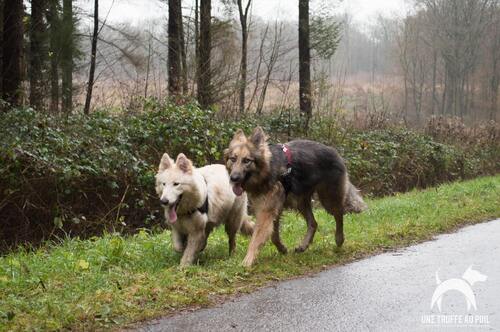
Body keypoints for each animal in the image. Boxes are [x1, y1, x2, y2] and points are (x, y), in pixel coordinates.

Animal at [225, 127, 366, 268]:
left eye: (246, 160)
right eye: (233, 159)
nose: (233, 178)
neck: (267, 170)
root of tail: (334, 151)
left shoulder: (266, 211)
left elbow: (257, 237)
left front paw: (247, 261)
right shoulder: (275, 209)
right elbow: (274, 236)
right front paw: (282, 249)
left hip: (328, 199)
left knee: (339, 215)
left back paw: (339, 239)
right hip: (300, 202)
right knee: (313, 223)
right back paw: (304, 246)